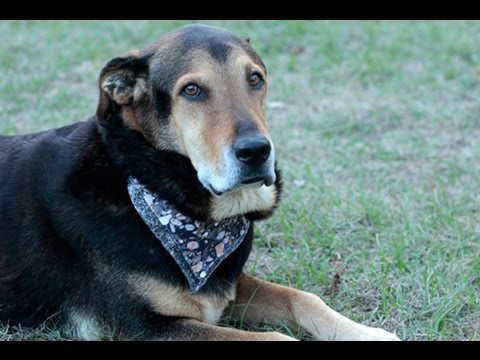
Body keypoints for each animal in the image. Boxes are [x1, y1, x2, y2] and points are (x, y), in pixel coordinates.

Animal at [0, 24, 400, 340]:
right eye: (191, 90)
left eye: (254, 79)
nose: (256, 151)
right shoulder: (144, 326)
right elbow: (274, 338)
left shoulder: (224, 283)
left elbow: (302, 298)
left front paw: (367, 334)